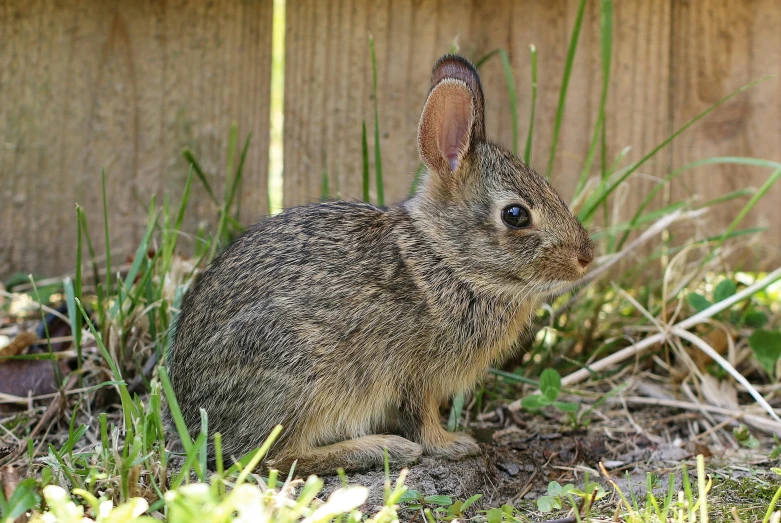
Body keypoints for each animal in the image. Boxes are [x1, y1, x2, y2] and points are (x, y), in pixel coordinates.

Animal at [165, 54, 592, 478]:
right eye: (515, 215)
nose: (584, 258)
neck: (445, 260)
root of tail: (191, 412)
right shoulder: (416, 375)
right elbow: (421, 419)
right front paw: (453, 444)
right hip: (298, 370)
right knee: (275, 457)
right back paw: (383, 448)